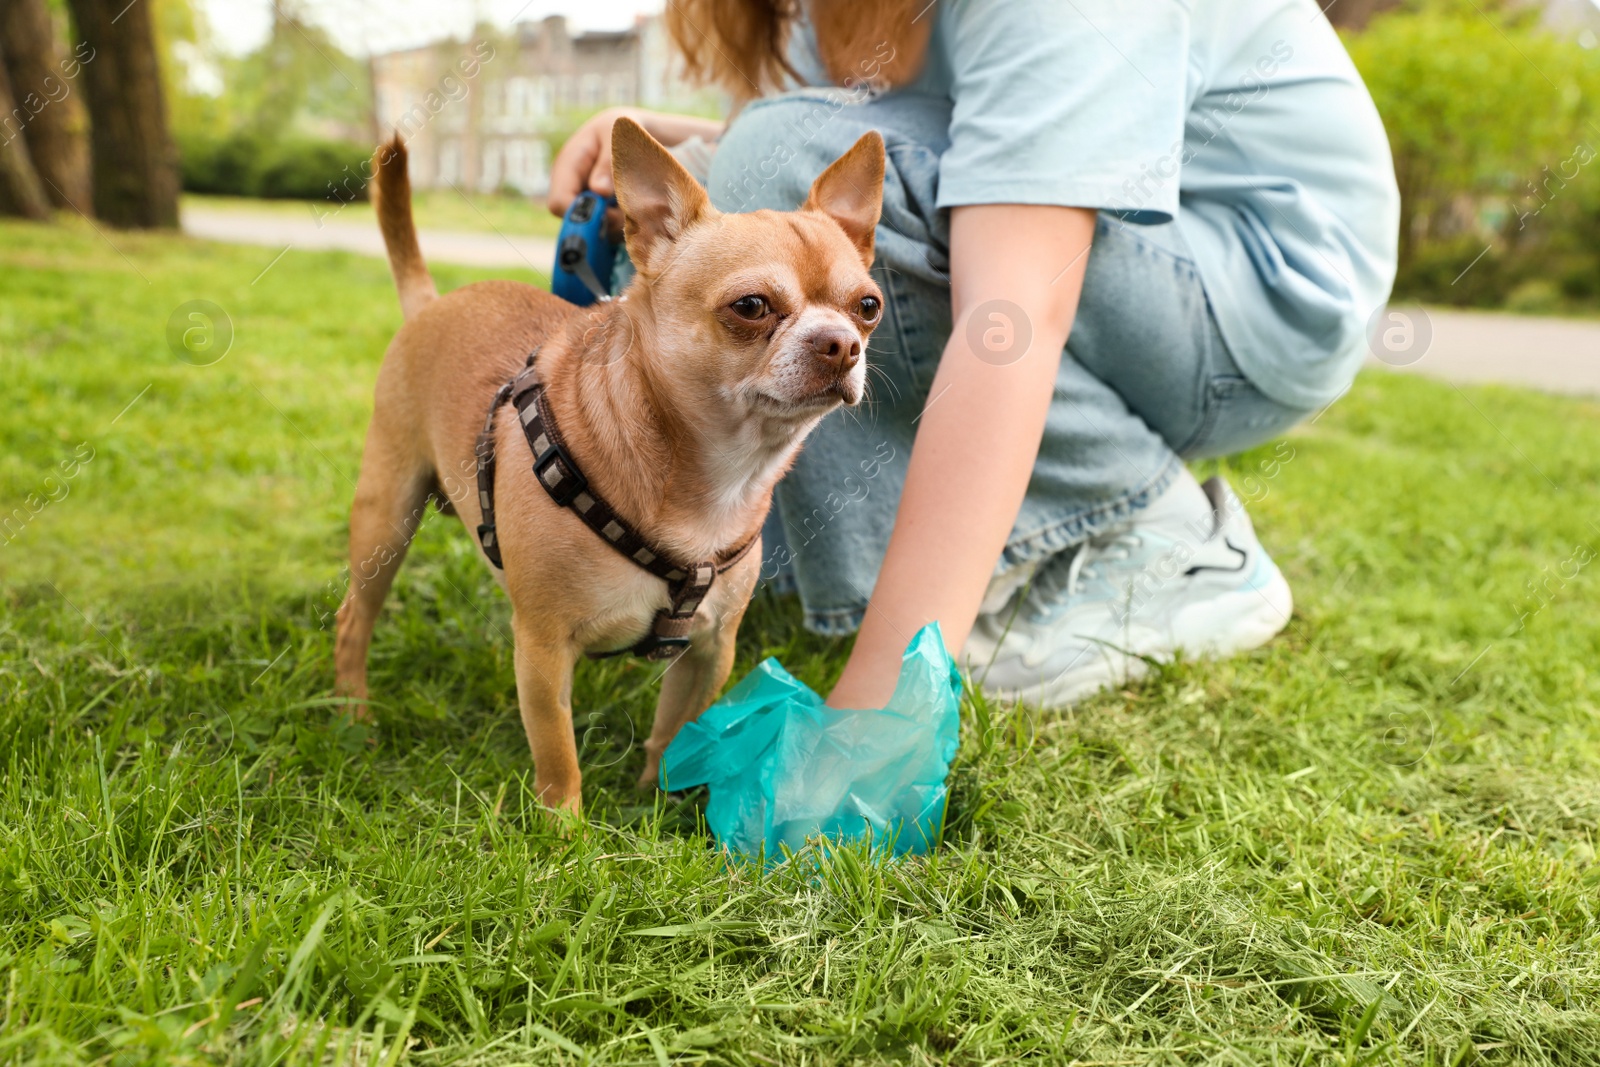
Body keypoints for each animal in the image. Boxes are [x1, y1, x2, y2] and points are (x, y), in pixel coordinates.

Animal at [334, 120, 889, 812]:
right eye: (751, 307)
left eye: (868, 307)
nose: (842, 342)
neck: (715, 478)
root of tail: (432, 302)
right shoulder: (544, 649)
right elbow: (558, 752)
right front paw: (563, 825)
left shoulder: (709, 650)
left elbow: (676, 731)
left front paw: (659, 801)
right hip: (386, 518)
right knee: (353, 619)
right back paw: (353, 718)